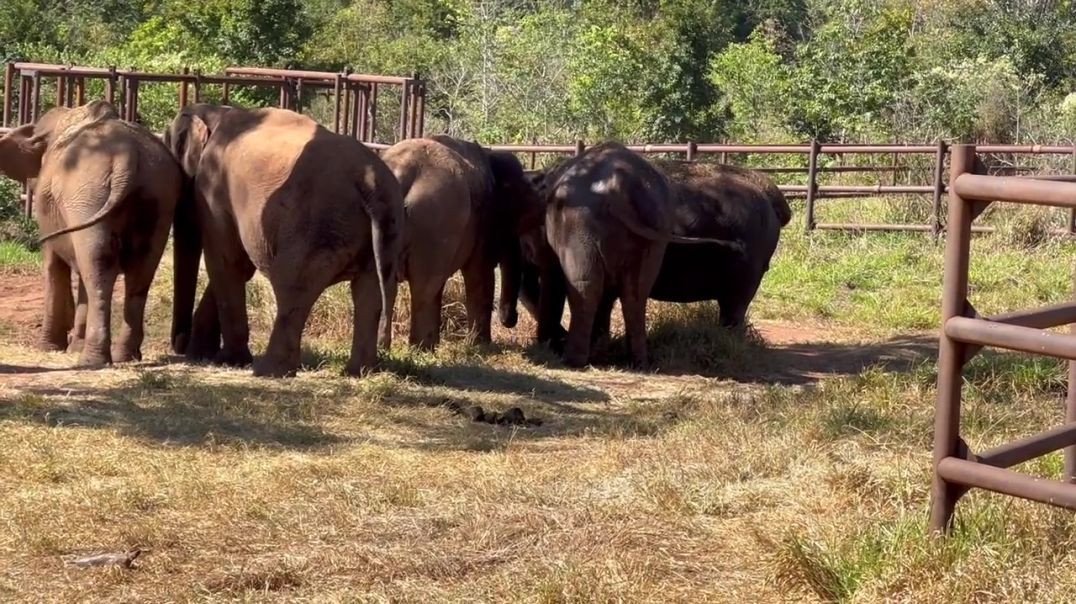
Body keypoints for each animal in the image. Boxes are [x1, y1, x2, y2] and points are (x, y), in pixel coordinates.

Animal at [0, 100, 182, 366]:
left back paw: (92, 360)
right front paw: (72, 347)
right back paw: (124, 357)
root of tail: (128, 156)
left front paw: (48, 348)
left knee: (97, 267)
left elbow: (53, 263)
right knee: (139, 271)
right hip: (158, 195)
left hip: (88, 195)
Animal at [380, 131, 546, 348]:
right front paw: (482, 346)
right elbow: (480, 275)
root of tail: (400, 174)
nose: (511, 320)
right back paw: (423, 348)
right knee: (425, 287)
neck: (491, 156)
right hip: (434, 220)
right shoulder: (484, 220)